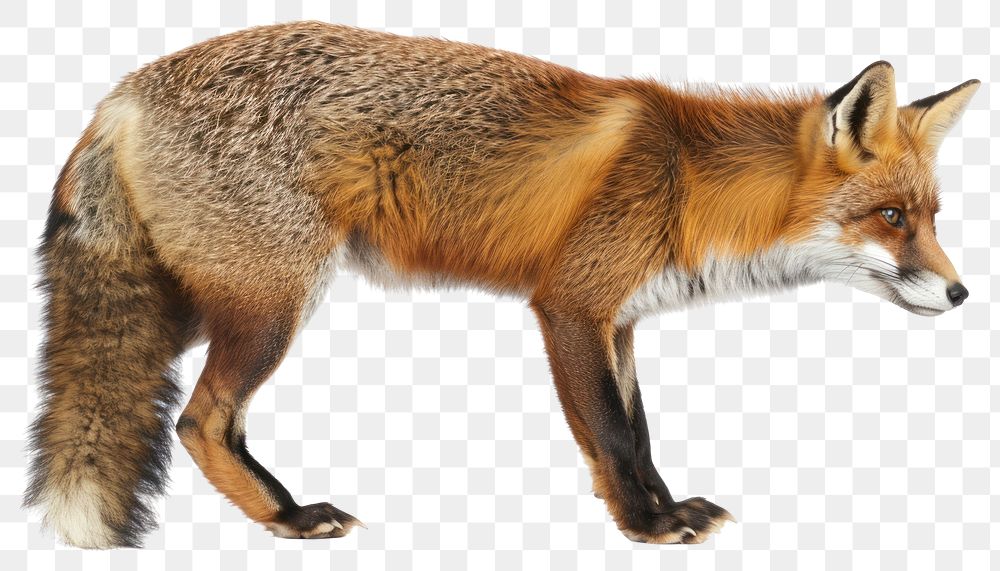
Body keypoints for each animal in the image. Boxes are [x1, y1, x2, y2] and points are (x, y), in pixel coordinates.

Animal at [24, 21, 978, 548]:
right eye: (891, 217)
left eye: (933, 216)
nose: (964, 295)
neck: (691, 183)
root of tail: (121, 92)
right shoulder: (572, 305)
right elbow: (614, 437)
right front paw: (649, 528)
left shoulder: (621, 321)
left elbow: (638, 431)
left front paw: (666, 507)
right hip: (271, 306)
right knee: (199, 419)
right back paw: (289, 518)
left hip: (189, 306)